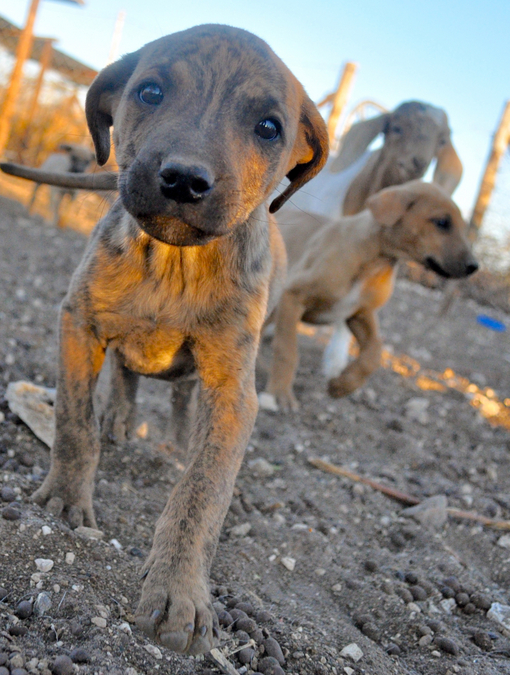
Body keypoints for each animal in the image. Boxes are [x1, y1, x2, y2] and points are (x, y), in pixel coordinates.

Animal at [17, 26, 328, 656]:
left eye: (268, 127)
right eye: (151, 91)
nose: (184, 179)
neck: (175, 264)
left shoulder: (234, 389)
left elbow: (202, 490)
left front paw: (178, 592)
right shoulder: (77, 324)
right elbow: (73, 421)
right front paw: (66, 499)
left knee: (182, 402)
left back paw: (177, 439)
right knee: (126, 375)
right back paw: (119, 419)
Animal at [266, 181, 478, 412]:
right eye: (442, 222)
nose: (474, 267)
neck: (375, 261)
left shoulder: (360, 313)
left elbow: (375, 352)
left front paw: (343, 384)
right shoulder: (292, 295)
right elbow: (287, 350)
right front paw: (280, 394)